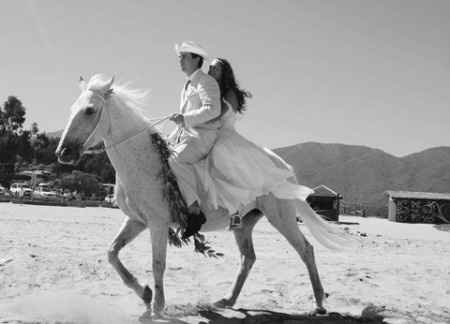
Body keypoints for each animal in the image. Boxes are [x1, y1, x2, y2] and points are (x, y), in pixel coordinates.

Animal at [56, 74, 350, 318]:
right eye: (71, 109)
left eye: (89, 110)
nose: (63, 153)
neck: (145, 160)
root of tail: (285, 167)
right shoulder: (136, 221)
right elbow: (112, 253)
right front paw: (145, 294)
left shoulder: (157, 224)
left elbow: (158, 263)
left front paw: (157, 306)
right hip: (244, 224)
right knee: (248, 258)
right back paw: (228, 301)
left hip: (282, 217)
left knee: (306, 250)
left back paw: (319, 304)